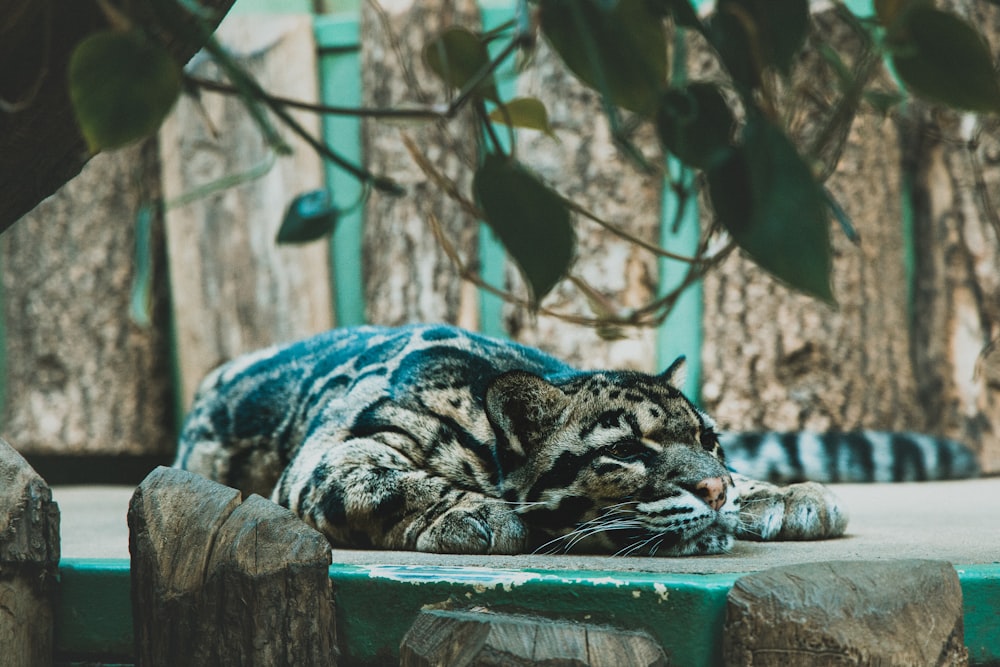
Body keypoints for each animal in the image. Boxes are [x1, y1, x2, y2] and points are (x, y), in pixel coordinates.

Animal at [174, 326, 976, 556]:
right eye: (630, 453)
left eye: (712, 441)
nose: (716, 487)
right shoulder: (331, 450)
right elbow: (381, 480)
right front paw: (473, 512)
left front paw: (774, 492)